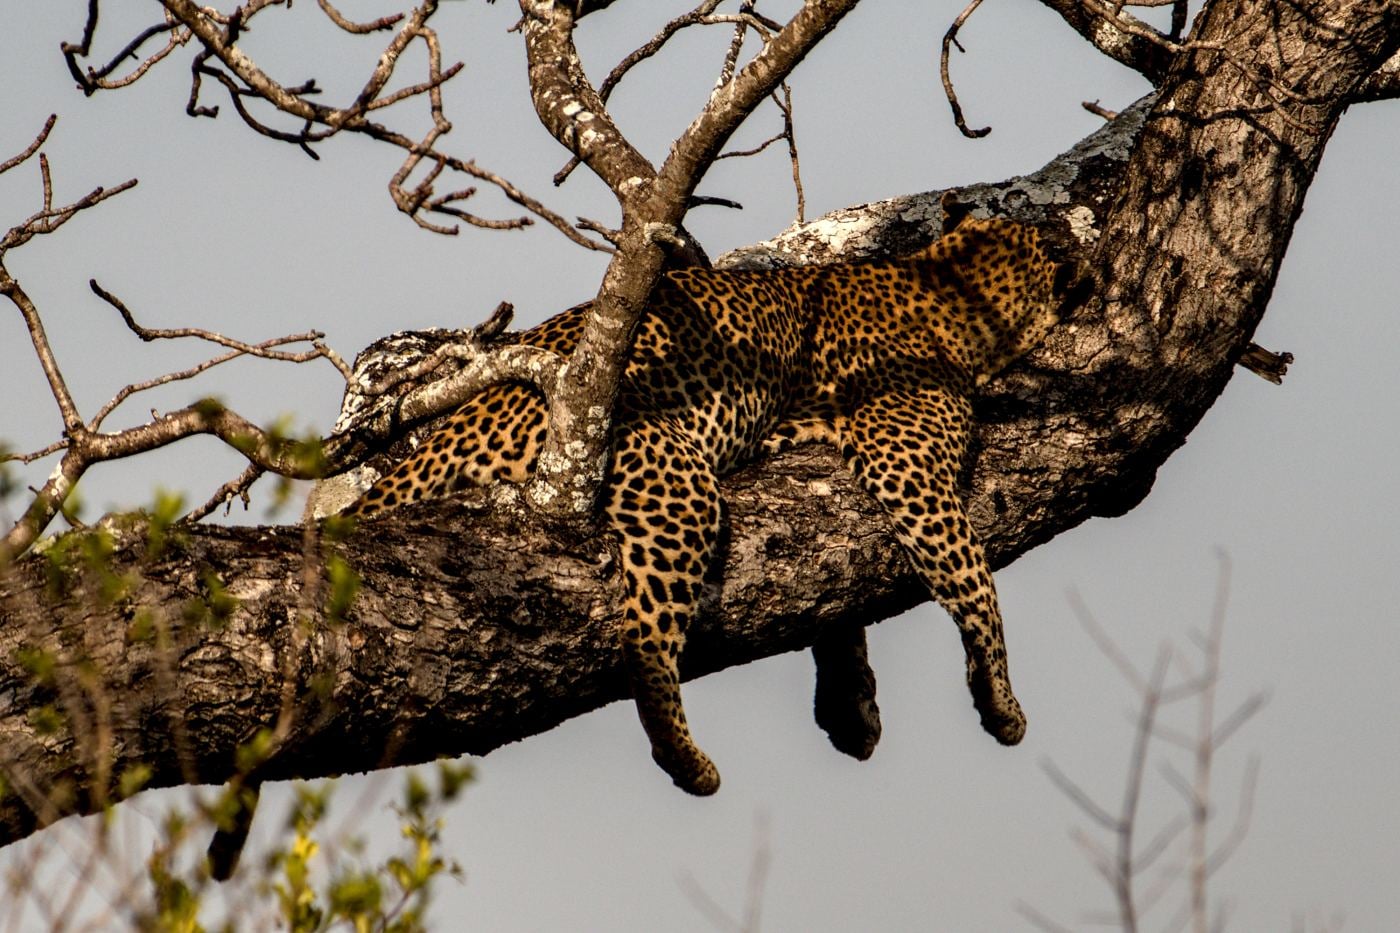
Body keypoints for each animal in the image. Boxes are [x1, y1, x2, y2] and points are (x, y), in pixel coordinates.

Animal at [347, 215, 1068, 796]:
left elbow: (838, 598)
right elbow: (973, 579)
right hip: (672, 480)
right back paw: (687, 759)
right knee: (644, 639)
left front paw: (849, 702)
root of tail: (449, 433)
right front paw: (1002, 702)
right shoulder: (908, 466)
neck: (941, 283)